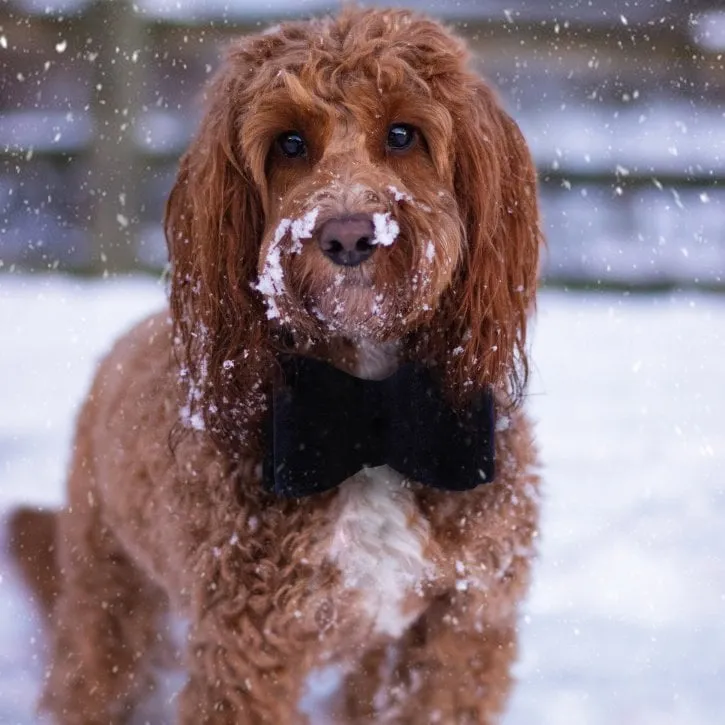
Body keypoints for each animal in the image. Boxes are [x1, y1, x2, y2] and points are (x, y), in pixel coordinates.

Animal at [8, 7, 540, 724]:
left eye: (402, 134)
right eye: (289, 144)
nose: (348, 235)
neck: (370, 409)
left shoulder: (465, 623)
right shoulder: (247, 646)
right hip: (108, 588)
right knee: (90, 674)